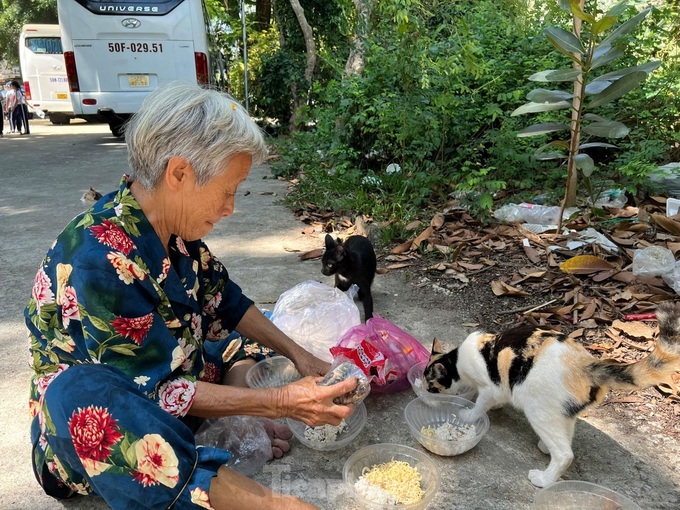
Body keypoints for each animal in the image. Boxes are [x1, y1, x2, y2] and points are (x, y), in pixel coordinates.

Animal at [424, 300, 680, 488]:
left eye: (430, 386)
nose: (425, 394)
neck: (457, 360)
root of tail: (586, 366)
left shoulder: (490, 386)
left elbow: (480, 404)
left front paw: (468, 414)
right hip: (562, 411)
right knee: (565, 434)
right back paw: (545, 447)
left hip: (538, 409)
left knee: (565, 454)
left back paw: (544, 479)